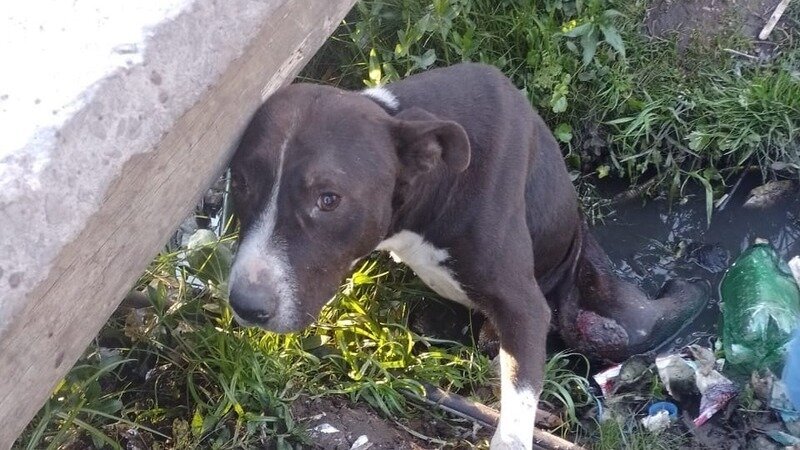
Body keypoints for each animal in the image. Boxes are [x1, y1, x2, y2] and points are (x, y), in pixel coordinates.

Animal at [226, 63, 707, 449]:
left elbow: (518, 403)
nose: (245, 305)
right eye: (242, 181)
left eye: (328, 199)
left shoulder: (524, 305)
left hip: (606, 307)